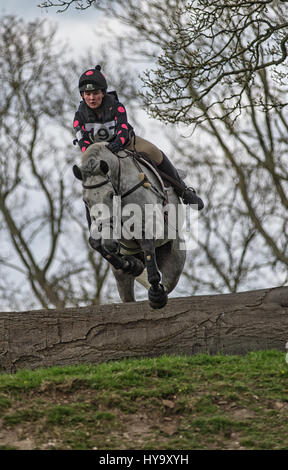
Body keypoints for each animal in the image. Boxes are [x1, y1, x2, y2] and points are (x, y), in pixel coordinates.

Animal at [73, 144, 186, 312]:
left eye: (110, 195)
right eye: (86, 201)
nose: (109, 243)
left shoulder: (151, 225)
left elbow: (147, 245)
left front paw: (156, 296)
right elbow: (95, 243)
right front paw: (131, 265)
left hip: (175, 261)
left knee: (167, 283)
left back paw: (159, 293)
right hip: (121, 281)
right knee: (128, 296)